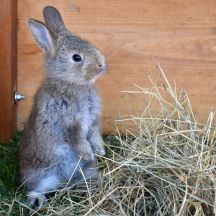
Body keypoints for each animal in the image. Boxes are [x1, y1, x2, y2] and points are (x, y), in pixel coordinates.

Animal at [19, 5, 106, 208]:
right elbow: (77, 139)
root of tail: (65, 180)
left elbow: (94, 132)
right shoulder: (66, 123)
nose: (102, 64)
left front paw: (100, 150)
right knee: (33, 188)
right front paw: (89, 153)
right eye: (76, 57)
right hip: (43, 175)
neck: (70, 82)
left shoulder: (93, 120)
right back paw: (37, 200)